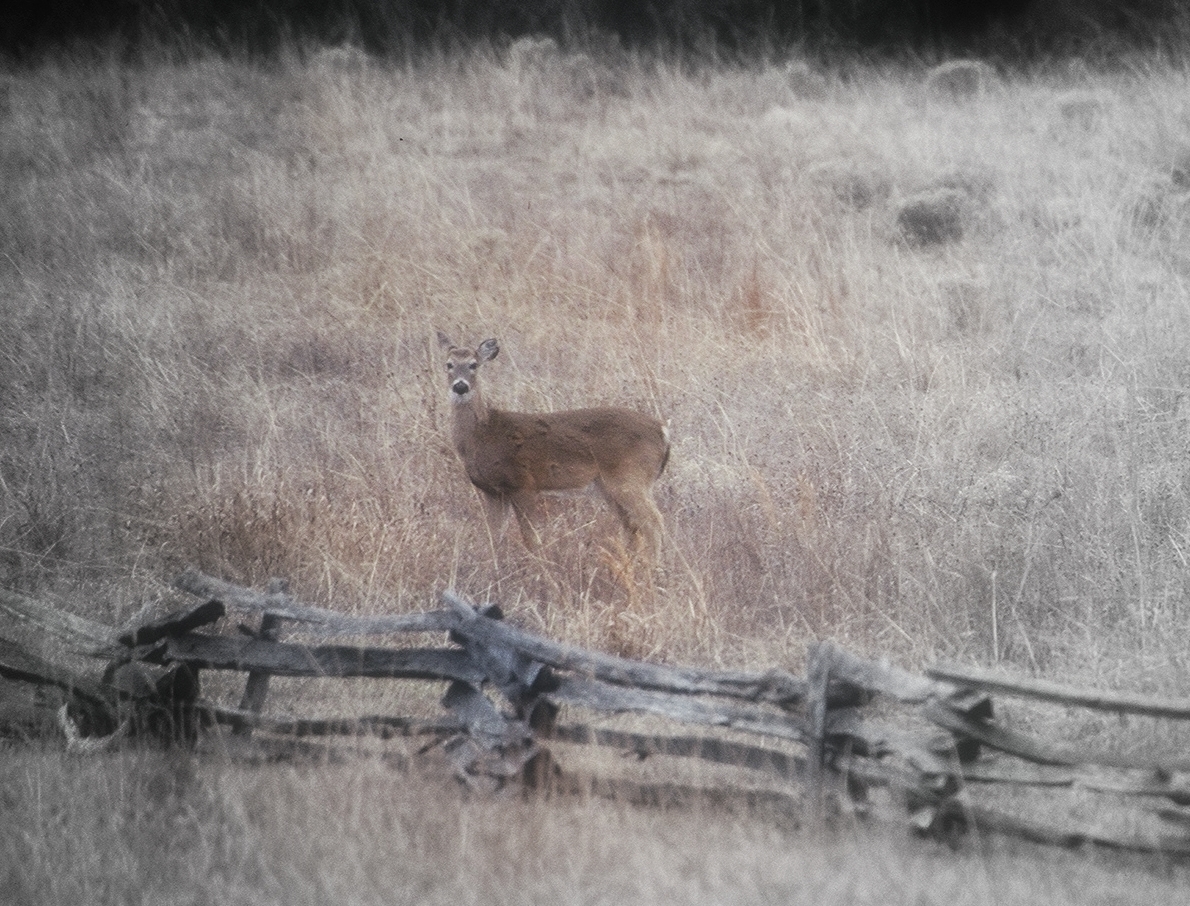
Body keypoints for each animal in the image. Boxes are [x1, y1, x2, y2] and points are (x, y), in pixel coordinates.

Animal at [436, 332, 670, 562]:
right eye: (449, 364)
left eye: (473, 364)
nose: (460, 386)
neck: (482, 435)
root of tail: (662, 429)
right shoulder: (492, 491)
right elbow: (495, 537)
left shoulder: (523, 483)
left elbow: (531, 538)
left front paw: (538, 565)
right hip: (609, 487)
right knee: (632, 527)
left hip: (630, 477)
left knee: (654, 521)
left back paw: (653, 566)